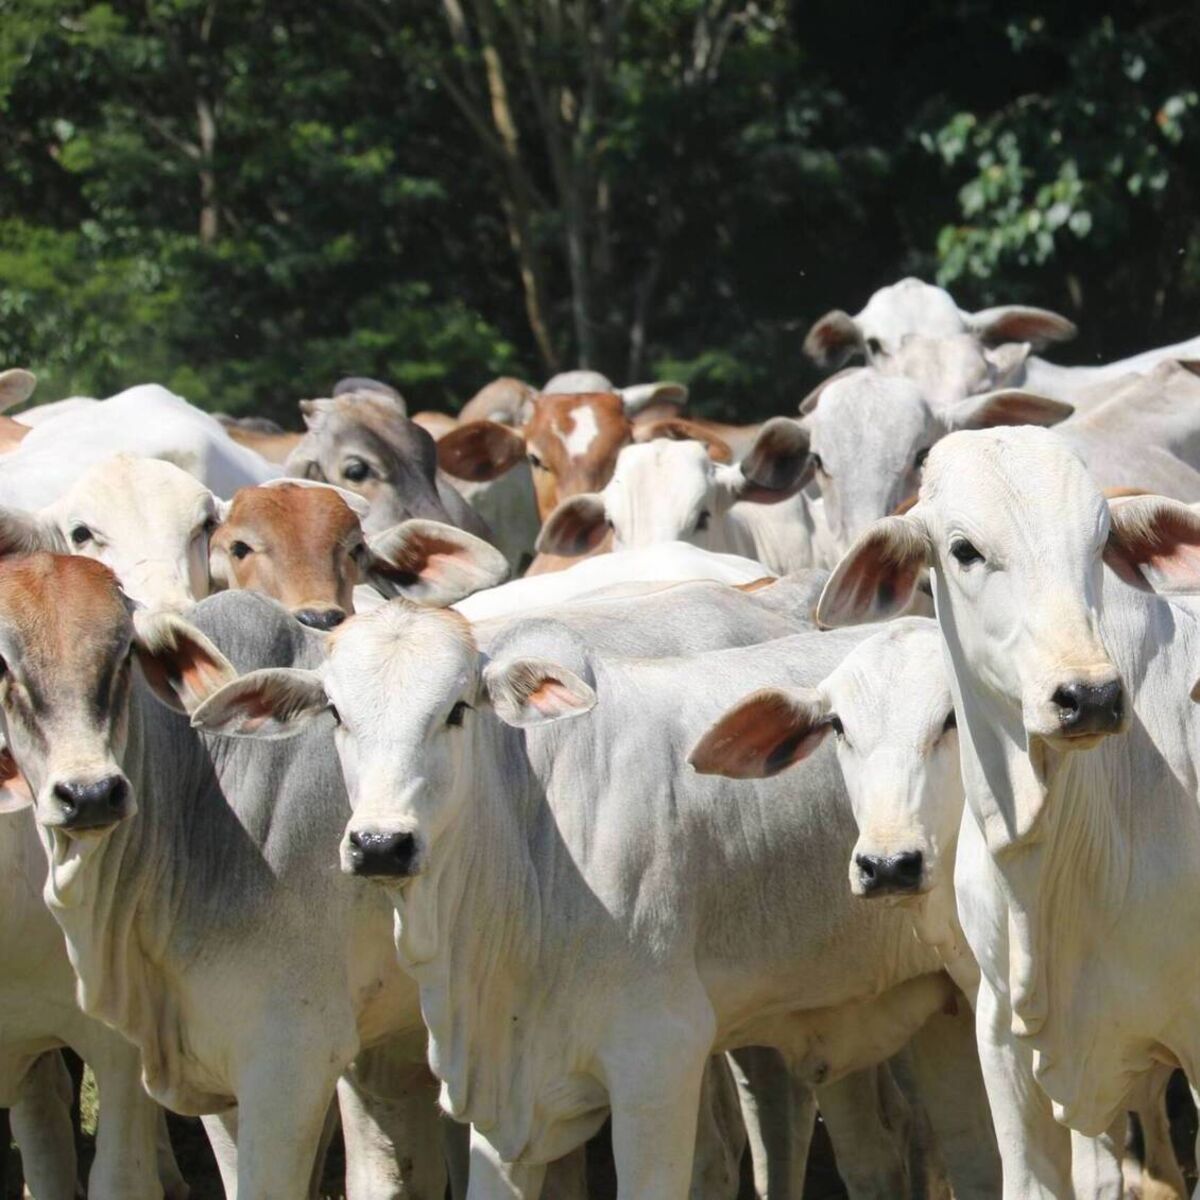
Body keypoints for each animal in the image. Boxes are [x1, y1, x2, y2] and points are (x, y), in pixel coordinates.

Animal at [193, 610, 1002, 1199]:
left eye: (455, 710)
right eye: (335, 713)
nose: (381, 844)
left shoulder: (659, 1062)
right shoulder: (506, 1106)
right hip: (944, 1013)